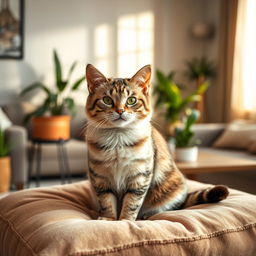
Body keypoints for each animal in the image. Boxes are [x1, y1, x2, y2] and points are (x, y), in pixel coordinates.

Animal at [85, 63, 229, 220]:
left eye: (131, 100)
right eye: (107, 100)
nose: (120, 111)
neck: (118, 138)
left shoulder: (140, 176)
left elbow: (131, 204)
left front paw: (125, 220)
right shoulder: (100, 177)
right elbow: (106, 202)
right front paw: (108, 219)